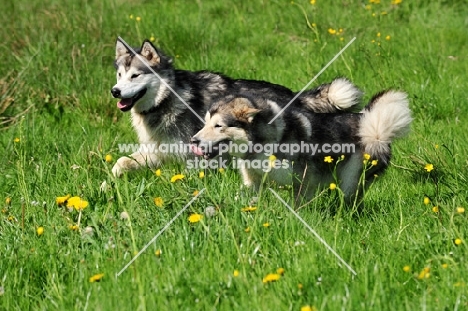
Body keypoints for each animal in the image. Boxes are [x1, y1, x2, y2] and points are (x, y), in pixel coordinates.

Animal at [109, 37, 362, 177]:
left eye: (135, 76)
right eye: (120, 75)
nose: (115, 91)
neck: (166, 101)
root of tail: (294, 95)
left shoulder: (193, 157)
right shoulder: (157, 151)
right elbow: (121, 162)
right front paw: (108, 185)